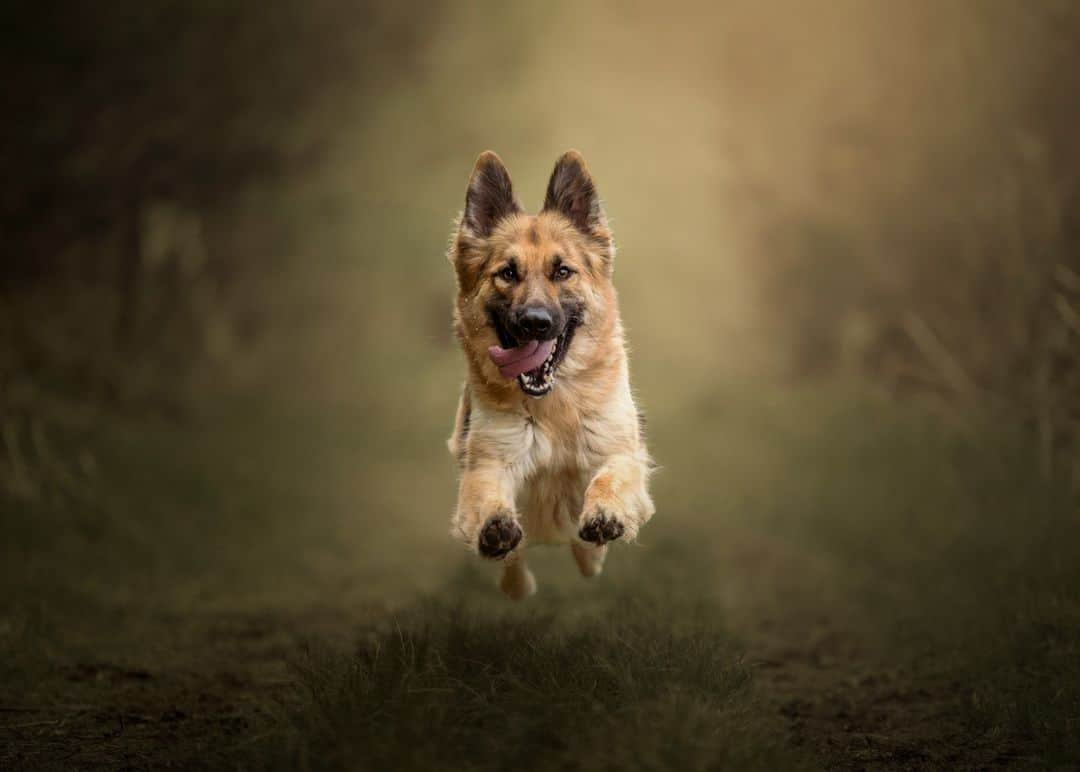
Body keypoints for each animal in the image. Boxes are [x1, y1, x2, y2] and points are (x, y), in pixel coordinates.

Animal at [444, 149, 652, 596]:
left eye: (562, 272)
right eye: (507, 273)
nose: (535, 323)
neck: (553, 408)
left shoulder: (622, 452)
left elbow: (610, 479)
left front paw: (605, 514)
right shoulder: (486, 464)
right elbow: (487, 498)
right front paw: (496, 525)